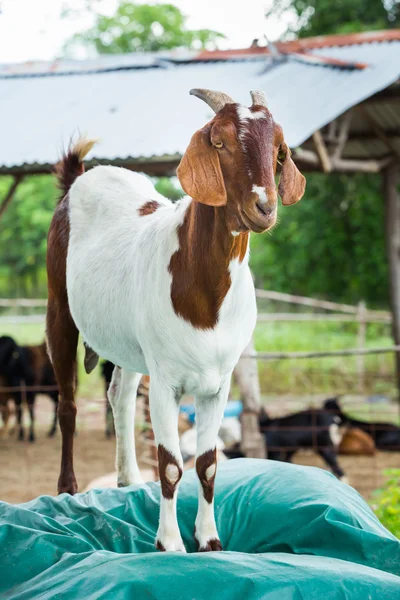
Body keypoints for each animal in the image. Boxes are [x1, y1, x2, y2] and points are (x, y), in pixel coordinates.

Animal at [46, 86, 304, 552]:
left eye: (279, 150)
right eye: (219, 142)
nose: (264, 207)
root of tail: (78, 180)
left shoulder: (217, 383)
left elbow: (207, 463)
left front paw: (209, 540)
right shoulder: (167, 382)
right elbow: (170, 464)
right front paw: (169, 544)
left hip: (130, 344)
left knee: (120, 394)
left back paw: (128, 481)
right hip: (59, 304)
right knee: (68, 404)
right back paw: (68, 489)